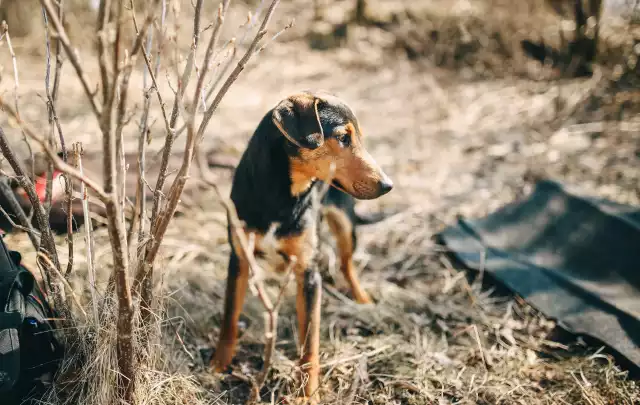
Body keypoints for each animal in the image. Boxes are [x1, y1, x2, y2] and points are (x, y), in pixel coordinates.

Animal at [212, 90, 392, 400]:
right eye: (343, 138)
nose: (388, 185)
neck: (283, 195)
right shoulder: (239, 258)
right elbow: (229, 317)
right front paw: (219, 363)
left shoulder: (308, 273)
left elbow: (310, 344)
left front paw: (308, 395)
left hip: (345, 224)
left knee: (346, 264)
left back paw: (362, 299)